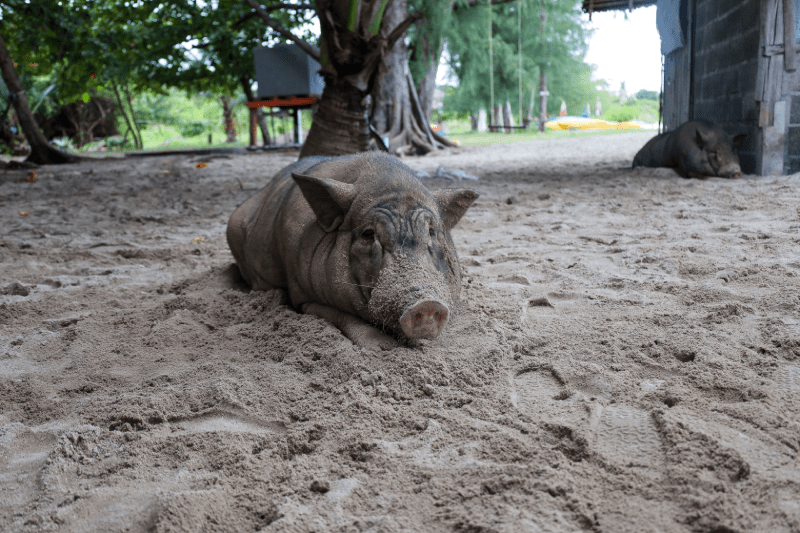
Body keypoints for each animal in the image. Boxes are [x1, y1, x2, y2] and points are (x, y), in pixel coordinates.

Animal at [226, 152, 478, 350]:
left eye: (432, 232)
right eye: (368, 234)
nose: (427, 304)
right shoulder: (301, 295)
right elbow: (344, 317)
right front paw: (382, 347)